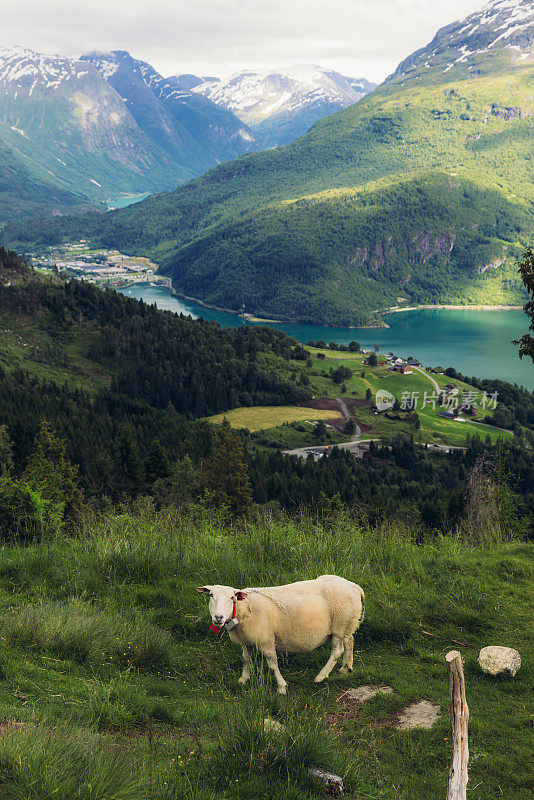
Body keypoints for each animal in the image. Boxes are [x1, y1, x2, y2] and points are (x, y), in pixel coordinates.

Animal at [199, 576, 366, 692]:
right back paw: (346, 668)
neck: (243, 609)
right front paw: (243, 680)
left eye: (232, 597)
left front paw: (281, 687)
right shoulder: (246, 641)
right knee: (349, 642)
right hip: (348, 624)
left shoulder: (266, 641)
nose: (218, 617)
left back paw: (320, 676)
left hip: (340, 624)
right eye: (211, 595)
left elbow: (273, 665)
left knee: (337, 651)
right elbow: (246, 660)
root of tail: (354, 586)